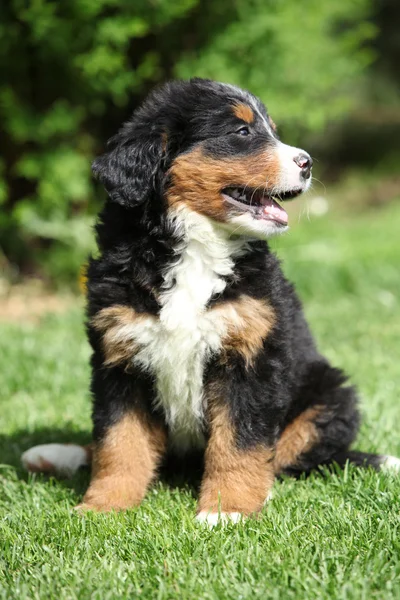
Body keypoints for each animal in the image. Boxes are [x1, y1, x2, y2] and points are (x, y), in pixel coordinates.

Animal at [22, 78, 400, 524]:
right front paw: (104, 505)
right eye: (242, 132)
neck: (197, 246)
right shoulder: (119, 358)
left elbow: (240, 442)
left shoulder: (250, 356)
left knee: (295, 457)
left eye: (271, 130)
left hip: (330, 395)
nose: (308, 163)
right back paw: (55, 454)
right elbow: (119, 441)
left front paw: (227, 510)